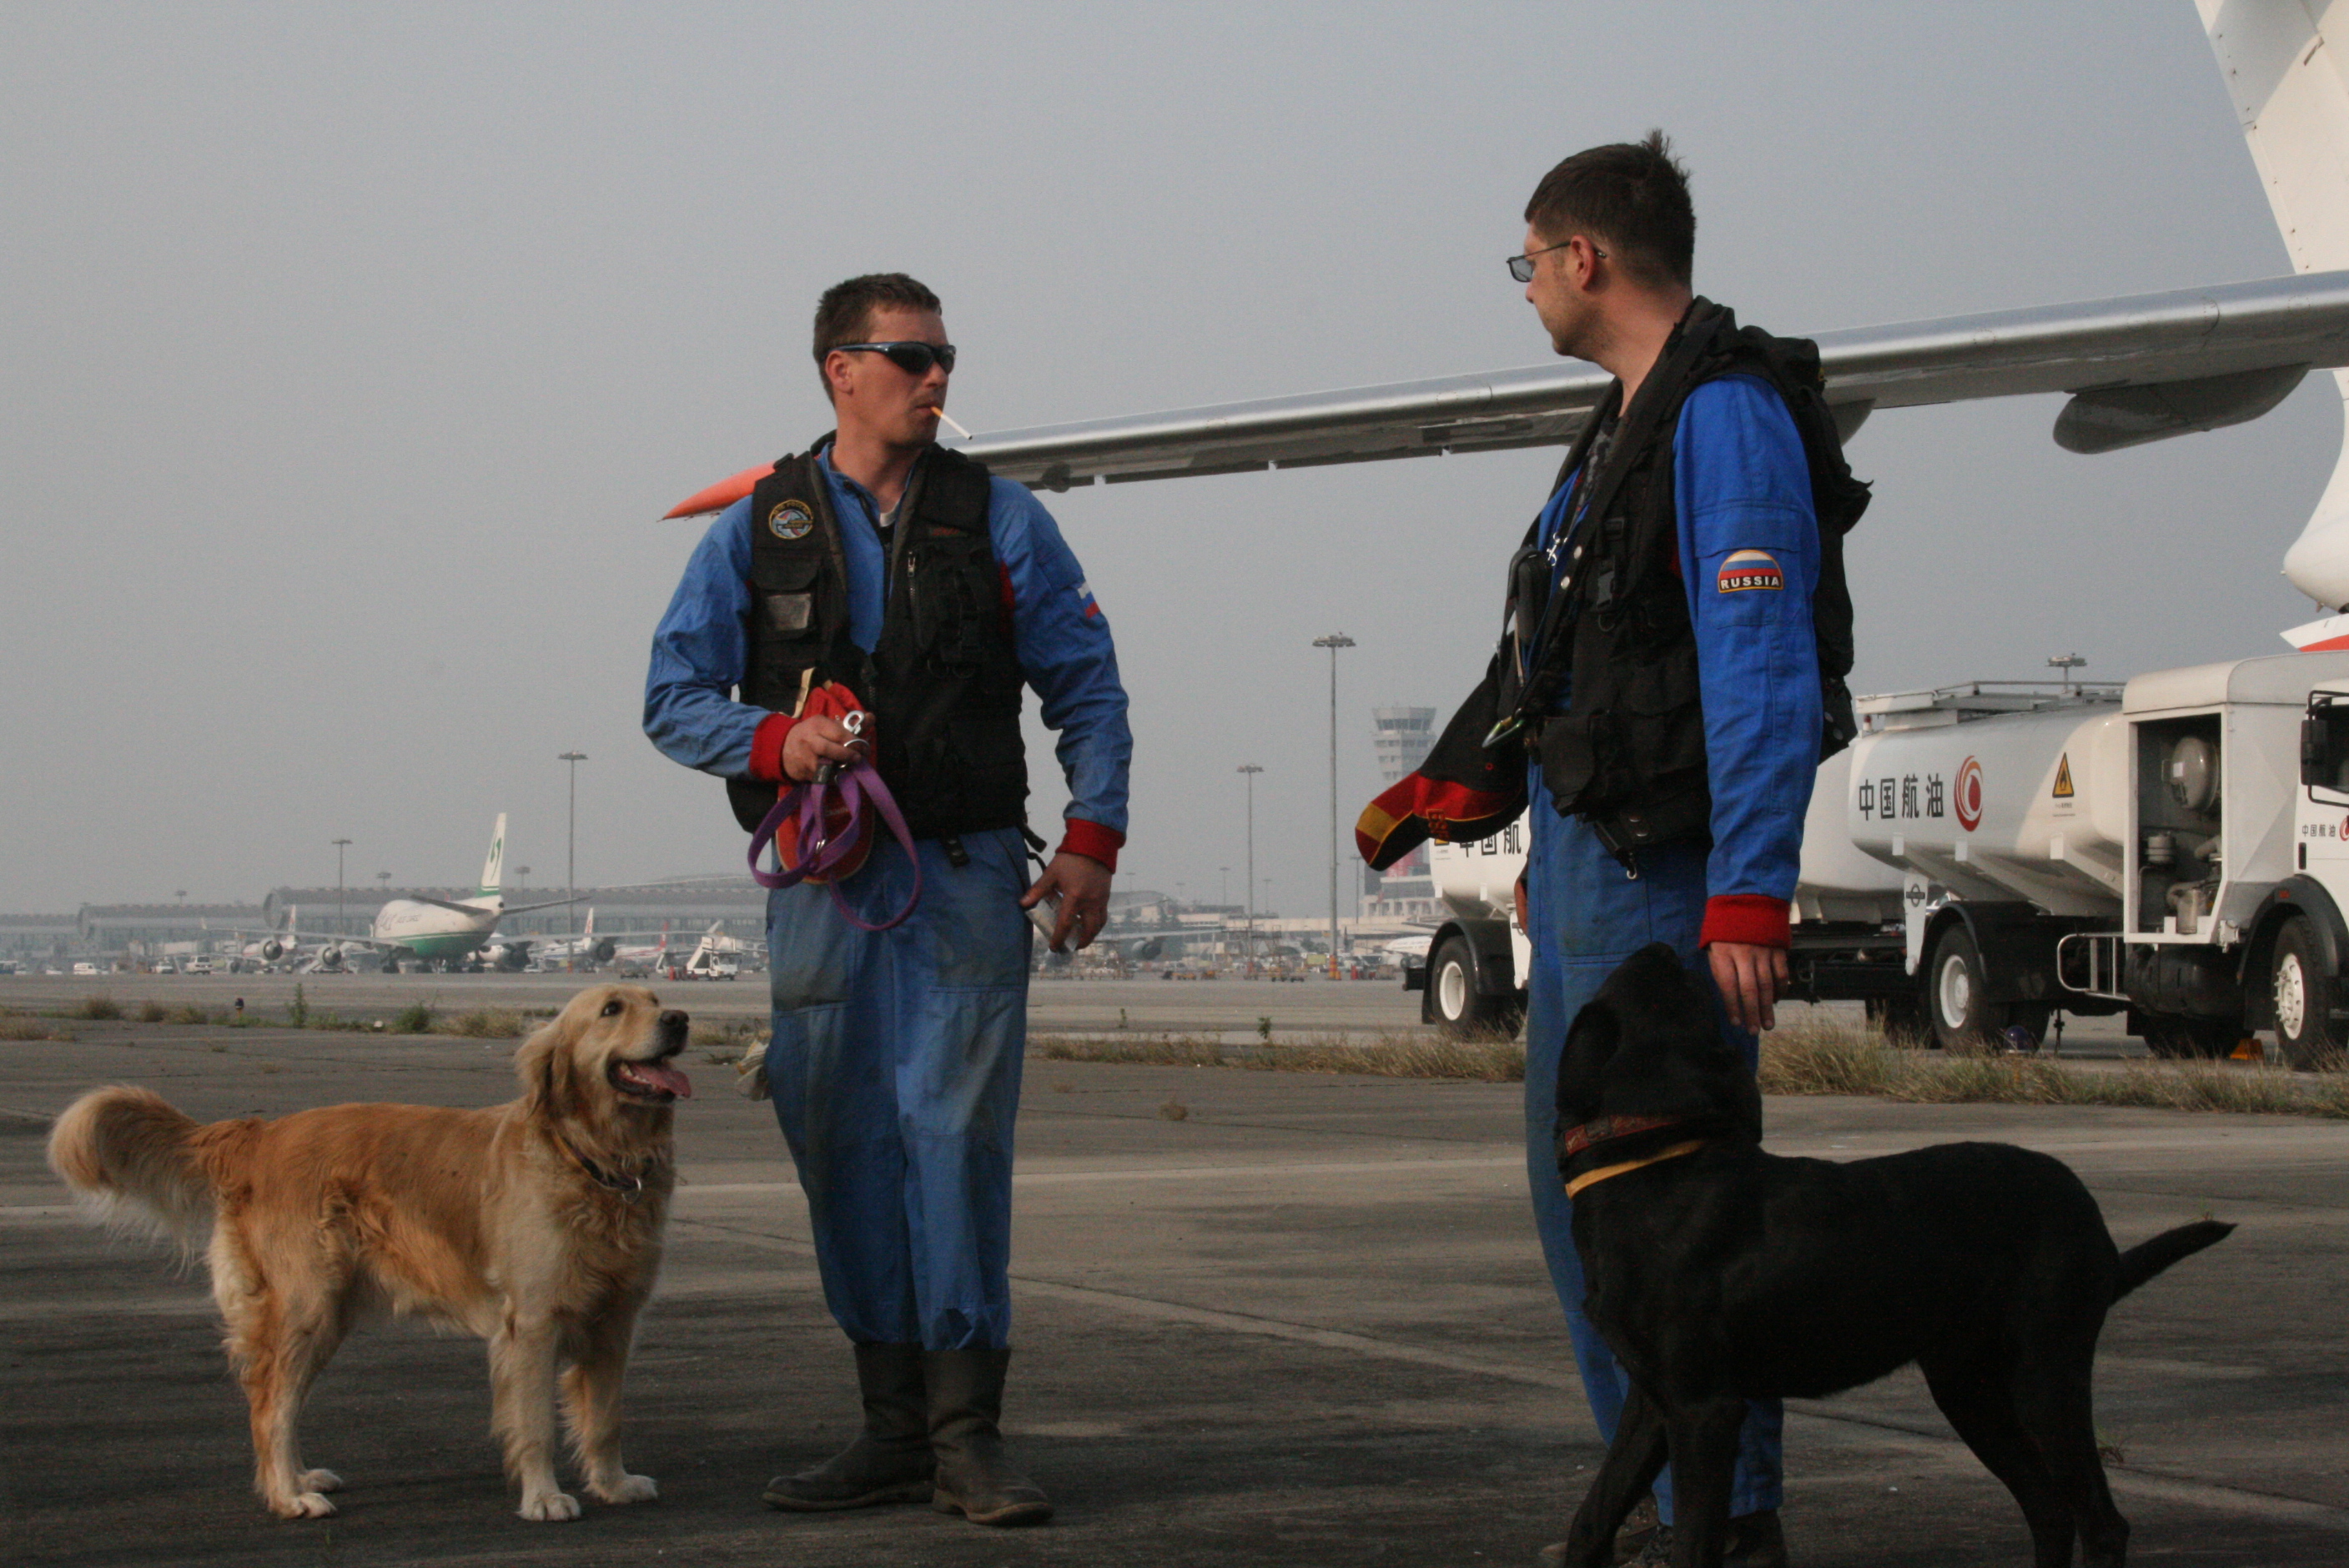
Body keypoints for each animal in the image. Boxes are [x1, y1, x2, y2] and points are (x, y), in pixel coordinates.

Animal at [1550, 943, 2226, 1568]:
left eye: (1669, 979)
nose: (1661, 945)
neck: (1653, 1164)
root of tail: (2094, 1222)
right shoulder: (1651, 1403)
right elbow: (1593, 1514)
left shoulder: (1703, 1410)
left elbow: (1693, 1541)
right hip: (1968, 1387)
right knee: (2051, 1511)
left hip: (2044, 1376)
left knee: (2101, 1522)